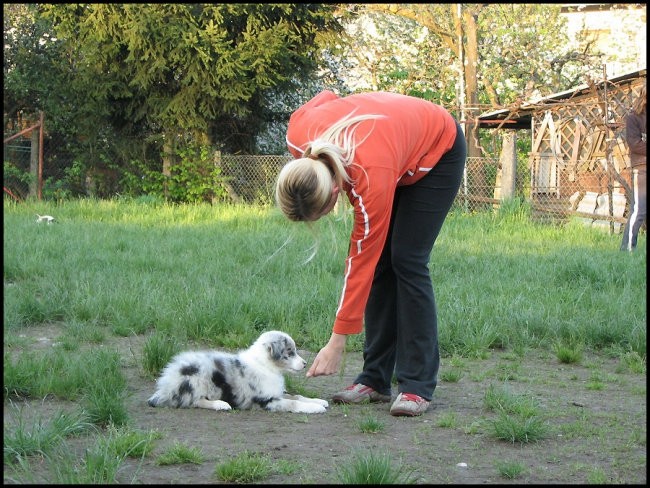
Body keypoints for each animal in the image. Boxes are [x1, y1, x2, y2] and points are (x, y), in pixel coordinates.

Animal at [149, 330, 326, 414]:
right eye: (290, 352)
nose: (305, 364)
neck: (265, 366)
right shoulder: (265, 400)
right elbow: (293, 402)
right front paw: (315, 408)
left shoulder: (276, 392)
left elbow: (296, 396)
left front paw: (319, 401)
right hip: (198, 378)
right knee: (193, 401)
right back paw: (221, 404)